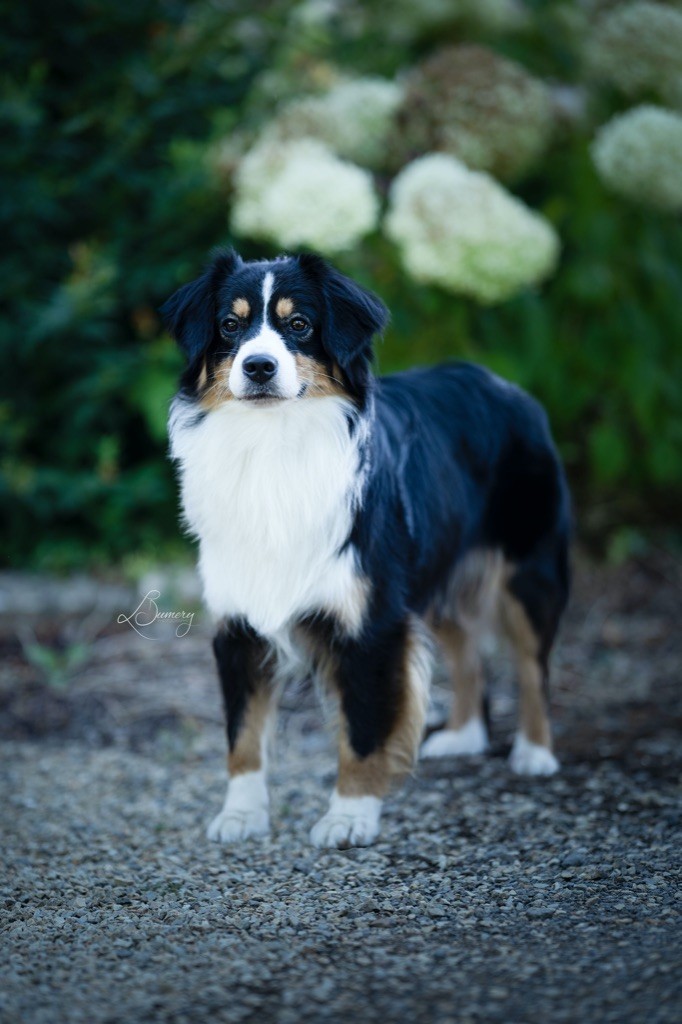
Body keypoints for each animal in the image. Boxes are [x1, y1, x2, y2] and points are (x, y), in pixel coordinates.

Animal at [160, 245, 569, 847]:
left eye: (300, 325)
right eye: (230, 326)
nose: (258, 367)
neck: (273, 446)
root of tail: (507, 387)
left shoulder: (371, 622)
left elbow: (363, 728)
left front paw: (350, 815)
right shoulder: (239, 622)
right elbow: (243, 732)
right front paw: (241, 813)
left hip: (527, 571)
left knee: (531, 662)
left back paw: (535, 753)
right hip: (431, 571)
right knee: (466, 648)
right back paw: (463, 735)